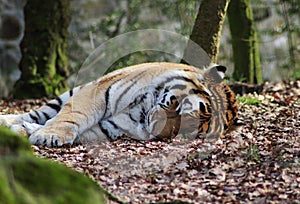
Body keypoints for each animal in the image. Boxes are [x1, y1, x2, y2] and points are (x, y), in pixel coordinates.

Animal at [0, 62, 239, 147]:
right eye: (180, 109)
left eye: (187, 131)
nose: (156, 132)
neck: (142, 111)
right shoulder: (96, 93)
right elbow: (72, 116)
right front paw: (49, 136)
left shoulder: (109, 127)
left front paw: (33, 133)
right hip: (69, 93)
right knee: (35, 114)